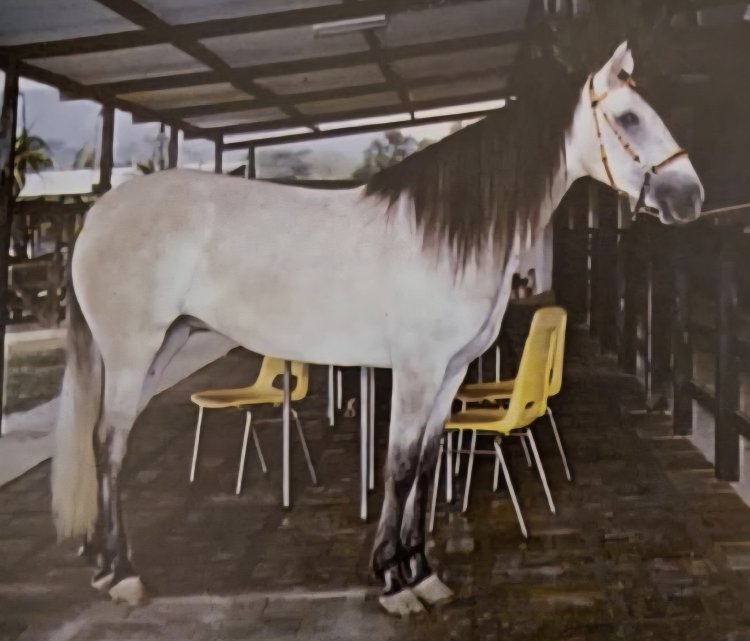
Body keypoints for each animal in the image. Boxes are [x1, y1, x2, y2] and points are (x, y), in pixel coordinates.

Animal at [51, 42, 703, 615]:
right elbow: (401, 465)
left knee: (107, 441)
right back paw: (122, 574)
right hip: (132, 352)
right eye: (628, 117)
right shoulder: (416, 372)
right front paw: (393, 582)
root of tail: (98, 213)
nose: (692, 198)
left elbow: (430, 463)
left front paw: (423, 572)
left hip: (163, 347)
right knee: (109, 443)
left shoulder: (451, 373)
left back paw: (105, 566)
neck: (450, 236)